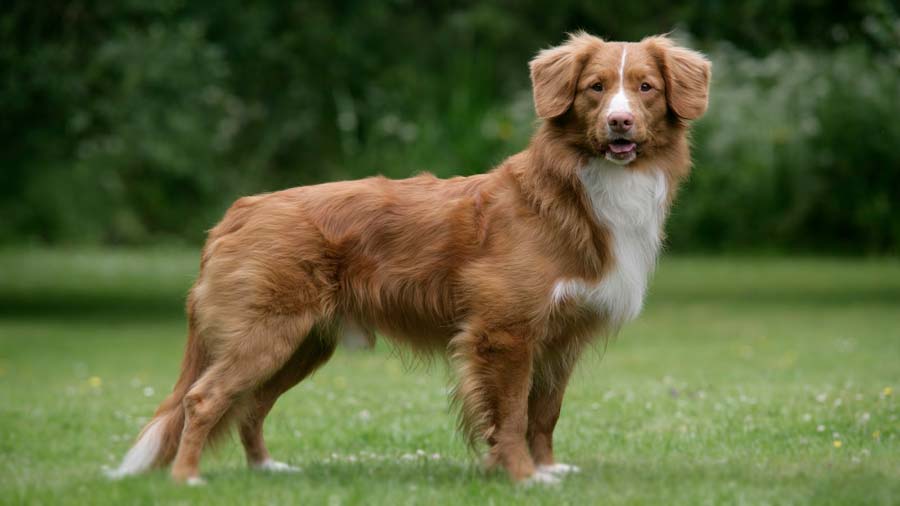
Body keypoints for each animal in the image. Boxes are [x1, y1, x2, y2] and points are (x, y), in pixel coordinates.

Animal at [107, 32, 712, 486]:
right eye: (595, 88)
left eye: (646, 88)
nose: (619, 123)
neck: (578, 192)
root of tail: (239, 210)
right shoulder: (504, 333)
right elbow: (512, 414)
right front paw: (521, 476)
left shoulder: (560, 339)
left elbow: (544, 414)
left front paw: (546, 469)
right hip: (266, 335)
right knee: (204, 399)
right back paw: (187, 479)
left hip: (303, 345)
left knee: (250, 407)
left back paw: (266, 469)